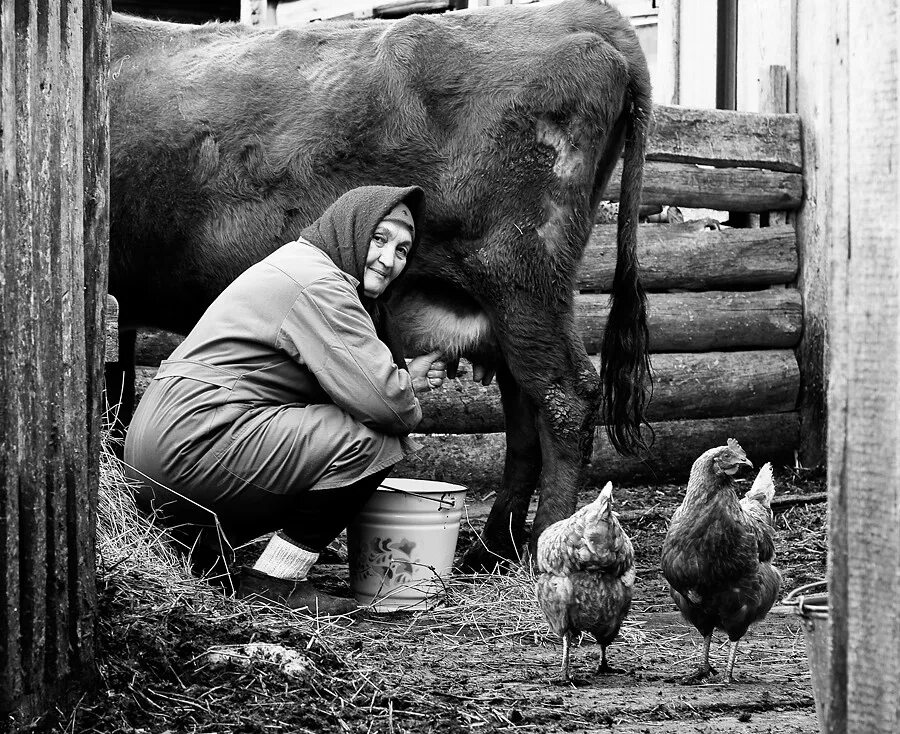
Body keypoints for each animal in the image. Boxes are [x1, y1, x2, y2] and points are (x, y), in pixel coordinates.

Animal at [109, 0, 652, 568]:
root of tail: (593, 21)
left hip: (523, 282)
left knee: (566, 396)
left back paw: (545, 545)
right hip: (511, 309)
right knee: (526, 415)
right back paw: (492, 548)